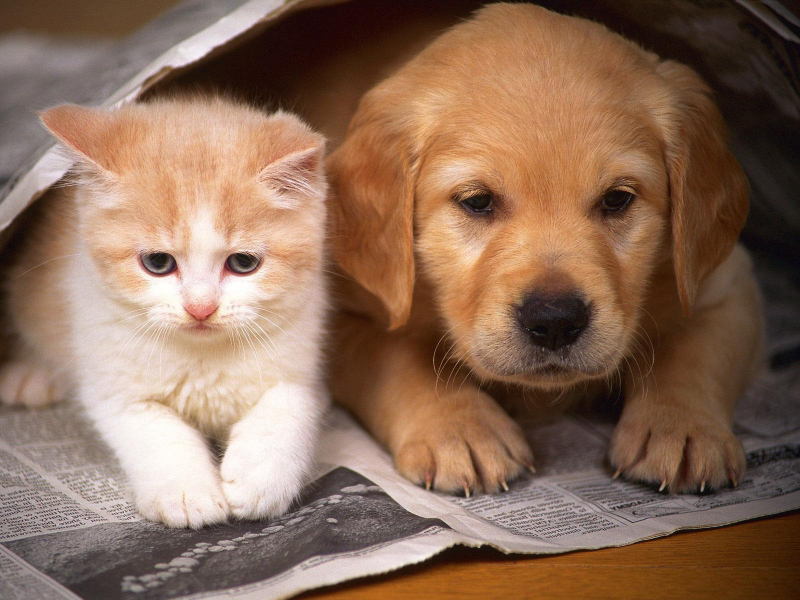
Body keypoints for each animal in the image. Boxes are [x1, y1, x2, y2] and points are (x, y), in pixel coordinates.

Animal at [0, 98, 330, 528]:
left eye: (243, 263)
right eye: (158, 262)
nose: (200, 307)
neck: (203, 356)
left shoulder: (305, 345)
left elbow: (292, 403)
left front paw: (263, 476)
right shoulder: (112, 382)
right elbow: (154, 430)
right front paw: (188, 491)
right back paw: (30, 375)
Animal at [324, 2, 764, 494]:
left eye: (617, 199)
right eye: (477, 201)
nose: (554, 322)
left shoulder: (727, 286)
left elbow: (693, 351)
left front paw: (682, 428)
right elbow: (394, 355)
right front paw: (460, 428)